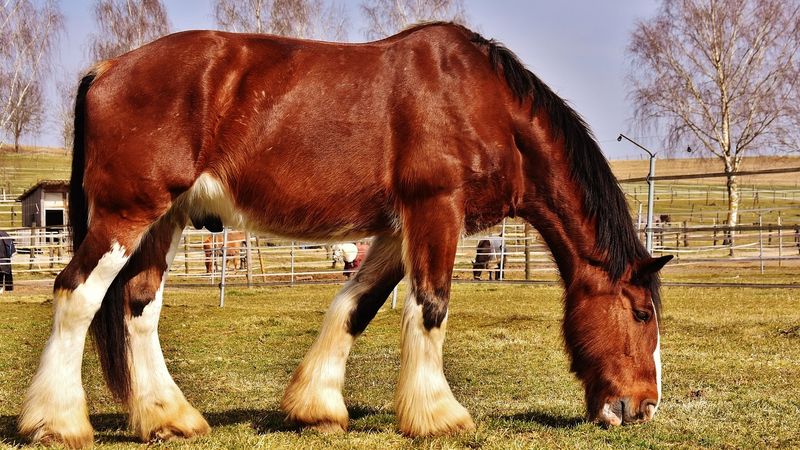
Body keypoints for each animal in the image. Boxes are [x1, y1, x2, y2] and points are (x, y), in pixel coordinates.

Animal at [17, 22, 668, 448]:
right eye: (641, 314)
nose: (641, 408)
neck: (483, 104)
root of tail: (108, 69)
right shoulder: (436, 210)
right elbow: (430, 307)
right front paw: (438, 416)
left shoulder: (396, 228)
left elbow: (356, 305)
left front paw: (317, 407)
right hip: (127, 215)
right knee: (76, 294)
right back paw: (58, 422)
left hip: (165, 220)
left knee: (137, 305)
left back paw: (168, 418)